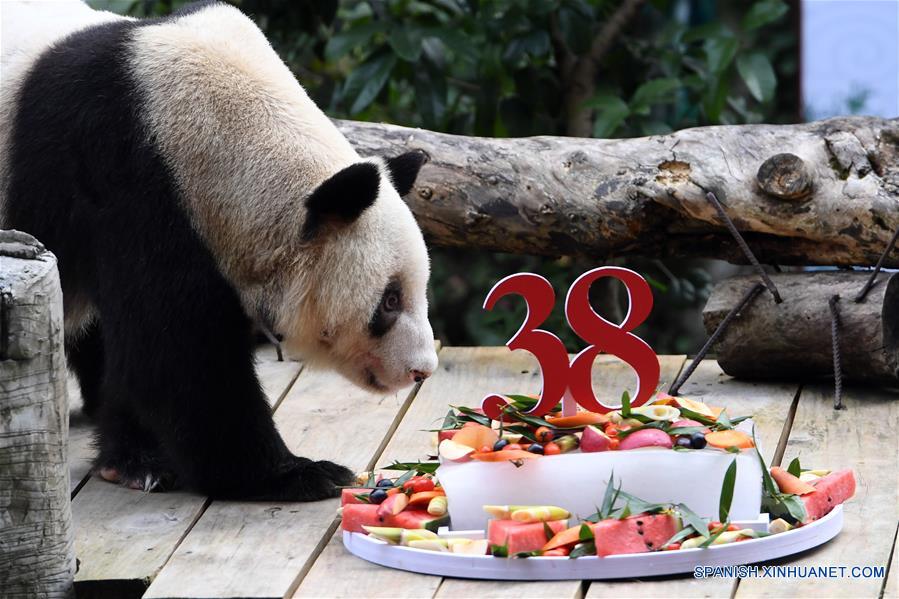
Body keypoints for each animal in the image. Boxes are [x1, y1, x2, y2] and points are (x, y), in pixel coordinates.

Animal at [0, 0, 439, 500]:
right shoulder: (130, 183)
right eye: (389, 300)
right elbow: (177, 356)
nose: (421, 370)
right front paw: (294, 473)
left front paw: (132, 457)